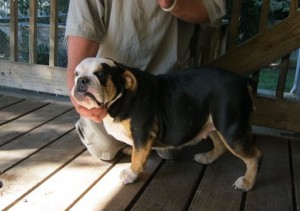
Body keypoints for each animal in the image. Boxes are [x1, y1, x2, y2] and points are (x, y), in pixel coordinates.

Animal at [71, 57, 262, 191]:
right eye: (76, 74)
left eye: (101, 74)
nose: (82, 80)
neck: (122, 96)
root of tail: (242, 80)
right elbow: (137, 151)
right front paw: (130, 150)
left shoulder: (142, 132)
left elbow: (138, 158)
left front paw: (131, 173)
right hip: (211, 122)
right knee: (220, 145)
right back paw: (207, 157)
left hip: (229, 128)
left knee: (255, 156)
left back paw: (247, 182)